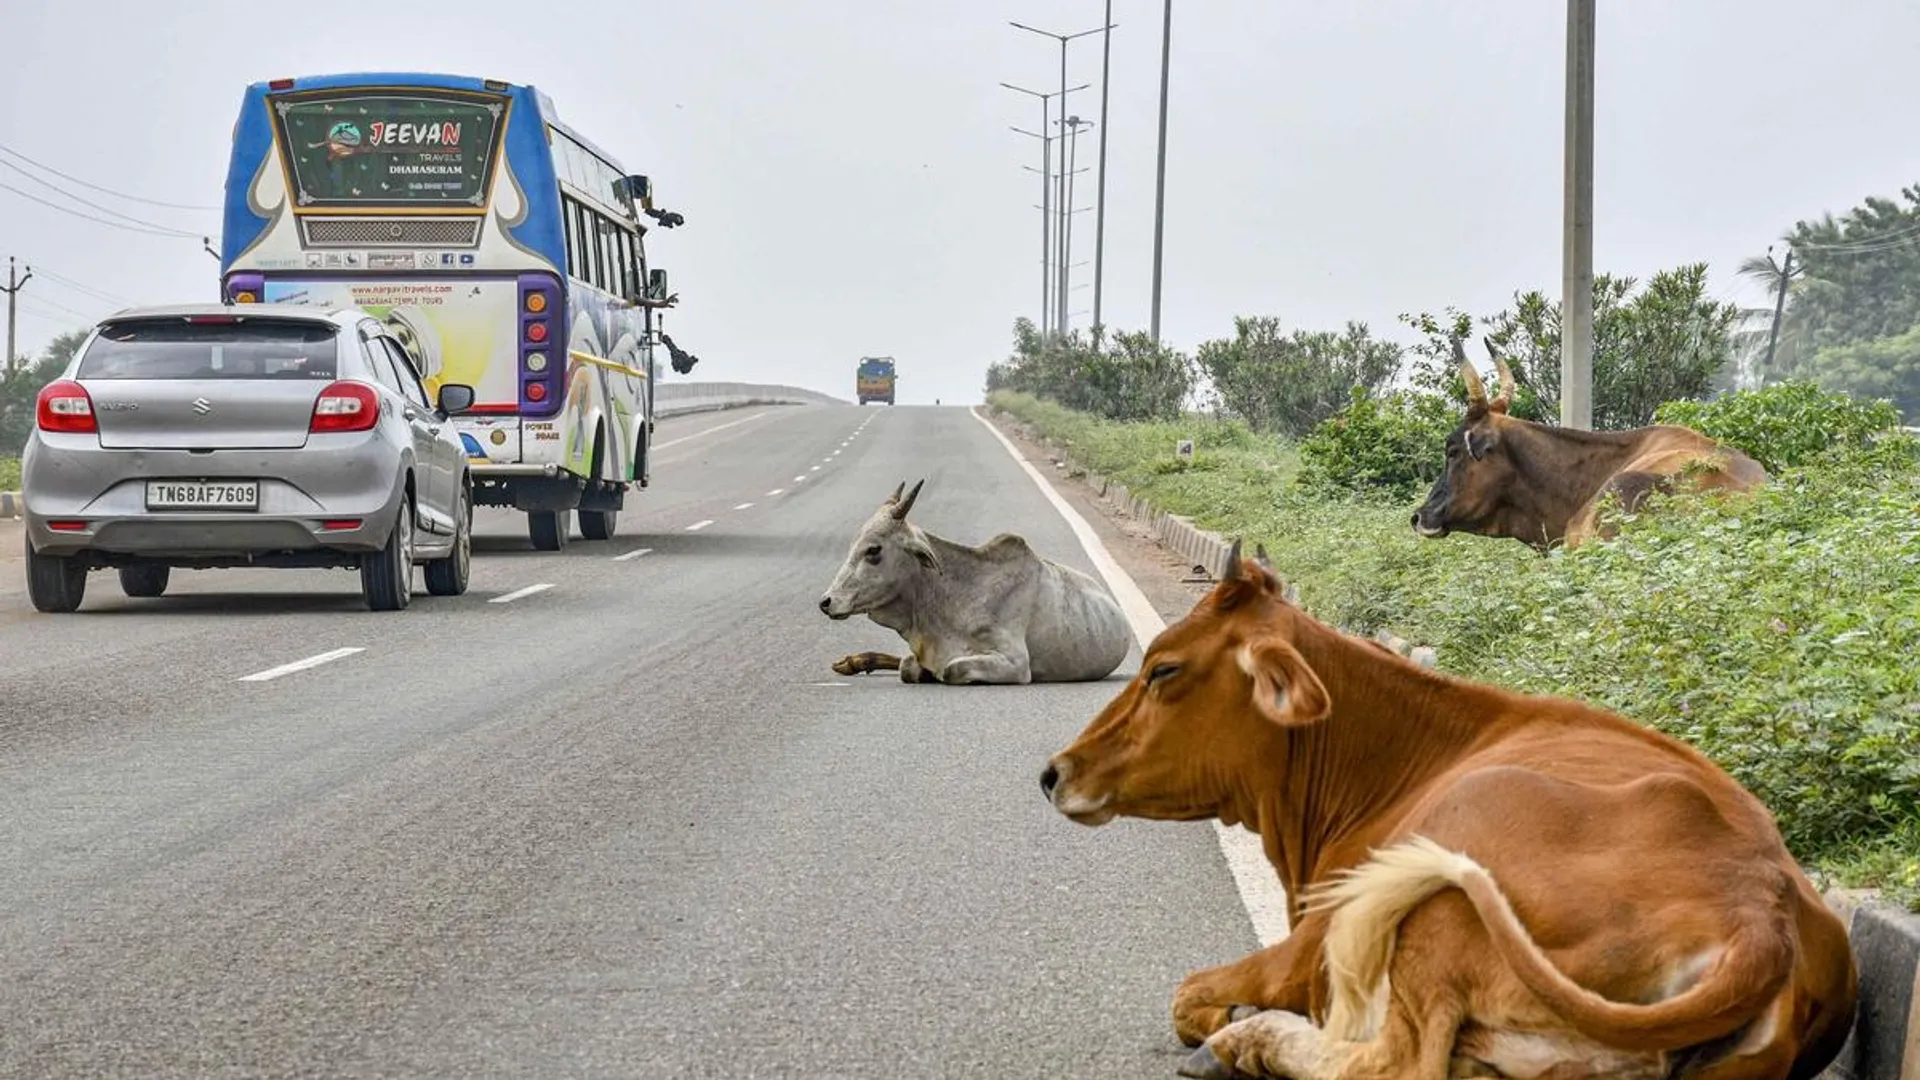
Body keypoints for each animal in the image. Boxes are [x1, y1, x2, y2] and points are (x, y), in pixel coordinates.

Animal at [817, 479, 1133, 684]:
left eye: (874, 550)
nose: (827, 601)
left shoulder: (1016, 664)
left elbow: (950, 669)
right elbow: (909, 666)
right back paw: (853, 662)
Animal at [1040, 540, 1857, 1080]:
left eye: (1163, 670)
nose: (1054, 772)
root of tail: (1762, 912)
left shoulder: (1309, 945)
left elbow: (1188, 996)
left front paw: (1230, 1023)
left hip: (1440, 891)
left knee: (1397, 1063)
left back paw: (1250, 1041)